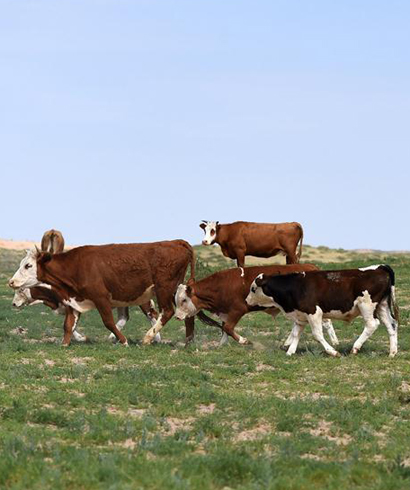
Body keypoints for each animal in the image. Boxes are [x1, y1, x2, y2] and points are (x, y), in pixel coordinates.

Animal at [8, 240, 195, 346]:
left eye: (28, 265)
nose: (11, 282)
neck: (76, 266)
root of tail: (178, 242)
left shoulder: (101, 298)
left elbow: (108, 322)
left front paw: (123, 341)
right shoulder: (74, 300)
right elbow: (68, 325)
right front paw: (65, 344)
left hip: (163, 288)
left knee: (166, 312)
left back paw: (148, 338)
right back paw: (188, 340)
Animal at [175, 262, 338, 346]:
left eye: (184, 300)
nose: (177, 317)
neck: (220, 285)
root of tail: (312, 267)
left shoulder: (237, 310)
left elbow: (228, 328)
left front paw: (243, 340)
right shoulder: (225, 312)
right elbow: (224, 328)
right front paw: (221, 344)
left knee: (325, 322)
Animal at [245, 266, 398, 358]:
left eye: (253, 289)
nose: (246, 300)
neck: (295, 286)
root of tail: (380, 267)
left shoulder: (314, 313)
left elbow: (317, 335)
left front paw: (333, 352)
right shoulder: (300, 316)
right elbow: (295, 334)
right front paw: (290, 352)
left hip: (366, 306)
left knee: (372, 324)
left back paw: (355, 347)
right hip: (382, 306)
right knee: (392, 325)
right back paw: (392, 352)